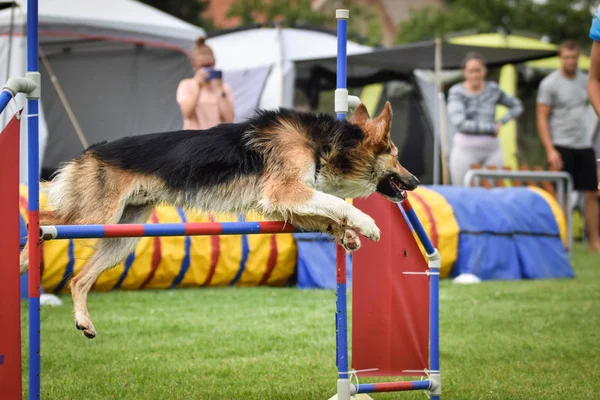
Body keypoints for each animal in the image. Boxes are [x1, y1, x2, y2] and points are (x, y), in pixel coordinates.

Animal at [19, 101, 422, 340]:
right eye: (396, 154)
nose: (417, 182)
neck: (328, 143)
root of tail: (90, 152)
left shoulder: (281, 205)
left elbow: (325, 213)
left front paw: (346, 235)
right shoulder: (284, 192)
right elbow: (337, 202)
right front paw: (365, 224)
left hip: (123, 234)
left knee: (78, 279)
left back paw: (84, 322)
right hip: (90, 216)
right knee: (42, 221)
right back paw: (23, 255)